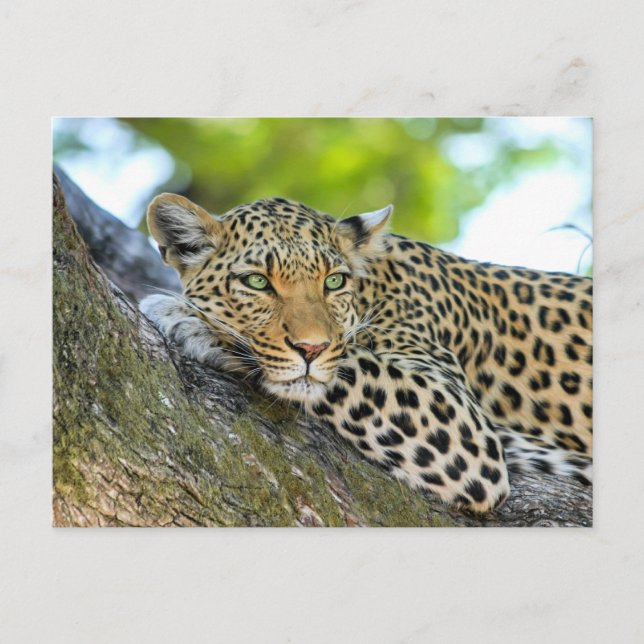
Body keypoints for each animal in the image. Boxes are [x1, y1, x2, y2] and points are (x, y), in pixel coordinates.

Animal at [140, 193, 593, 513]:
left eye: (334, 281)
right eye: (256, 282)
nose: (311, 348)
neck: (374, 287)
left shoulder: (463, 426)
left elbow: (347, 365)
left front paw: (191, 320)